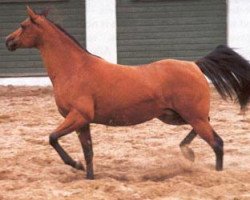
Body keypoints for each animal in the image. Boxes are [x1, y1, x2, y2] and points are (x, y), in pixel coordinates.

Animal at [5, 7, 250, 180]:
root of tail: (194, 65)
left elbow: (53, 138)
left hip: (191, 116)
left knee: (217, 143)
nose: (8, 41)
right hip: (175, 116)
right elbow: (89, 152)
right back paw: (187, 151)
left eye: (23, 25)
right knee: (206, 128)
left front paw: (76, 165)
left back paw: (215, 172)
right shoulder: (83, 122)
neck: (75, 69)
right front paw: (88, 176)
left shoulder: (78, 116)